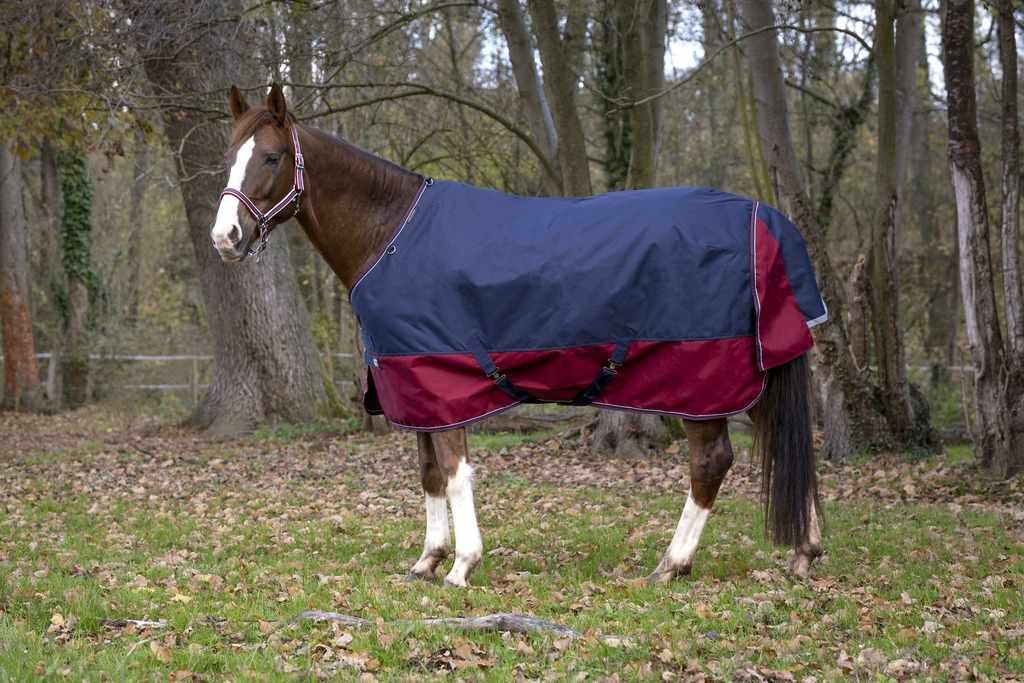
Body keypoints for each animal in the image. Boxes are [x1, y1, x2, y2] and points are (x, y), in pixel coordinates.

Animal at [210, 84, 824, 587]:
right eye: (228, 157)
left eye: (270, 157)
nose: (225, 237)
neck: (391, 235)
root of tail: (763, 219)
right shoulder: (412, 384)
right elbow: (428, 474)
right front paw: (428, 560)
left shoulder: (442, 383)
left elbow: (455, 472)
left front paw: (462, 565)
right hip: (755, 378)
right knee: (785, 442)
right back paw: (804, 553)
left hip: (702, 384)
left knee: (711, 462)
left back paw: (672, 564)